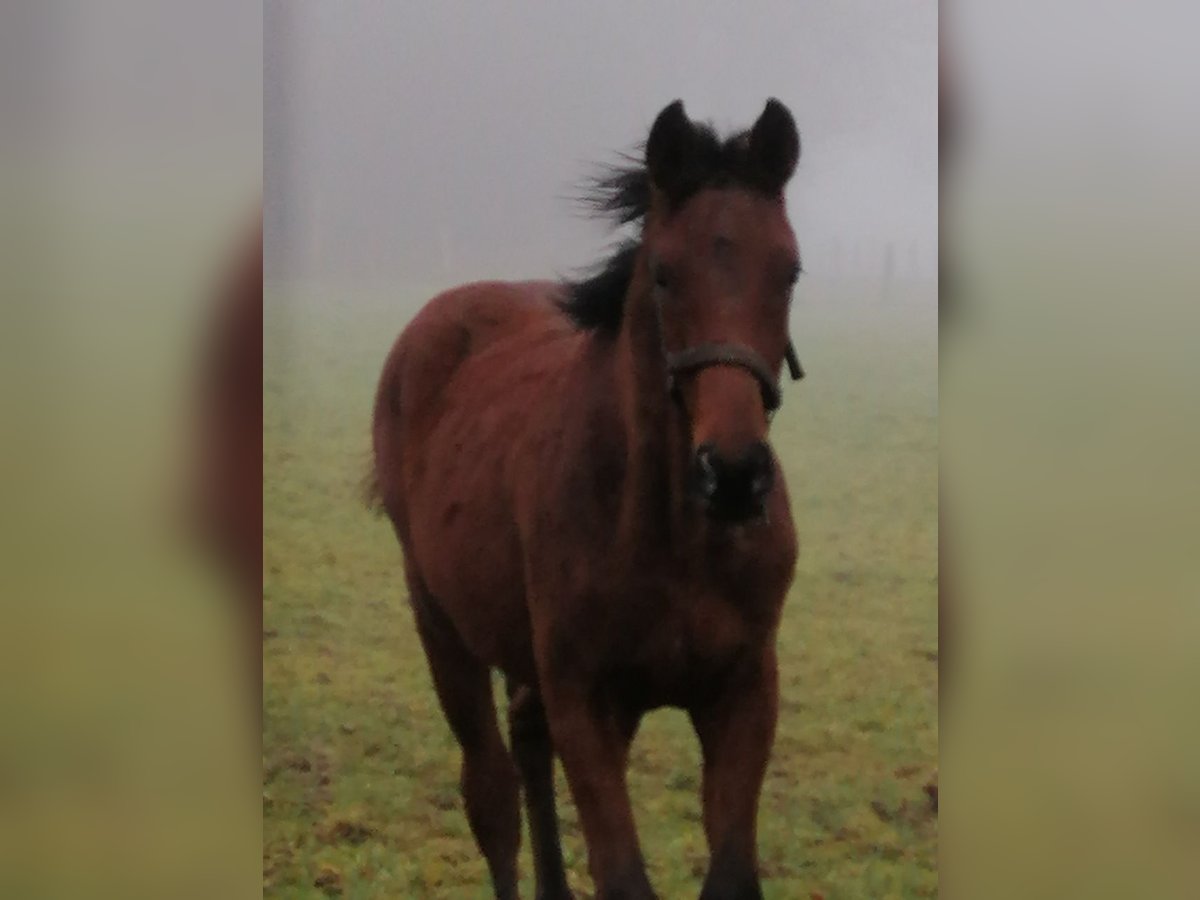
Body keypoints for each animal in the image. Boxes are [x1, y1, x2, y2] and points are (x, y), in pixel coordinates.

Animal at [372, 100, 806, 900]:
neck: (668, 534)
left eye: (789, 271)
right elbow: (621, 875)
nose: (733, 475)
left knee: (526, 738)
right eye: (663, 275)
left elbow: (731, 872)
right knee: (491, 793)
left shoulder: (743, 687)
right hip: (440, 618)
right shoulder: (587, 698)